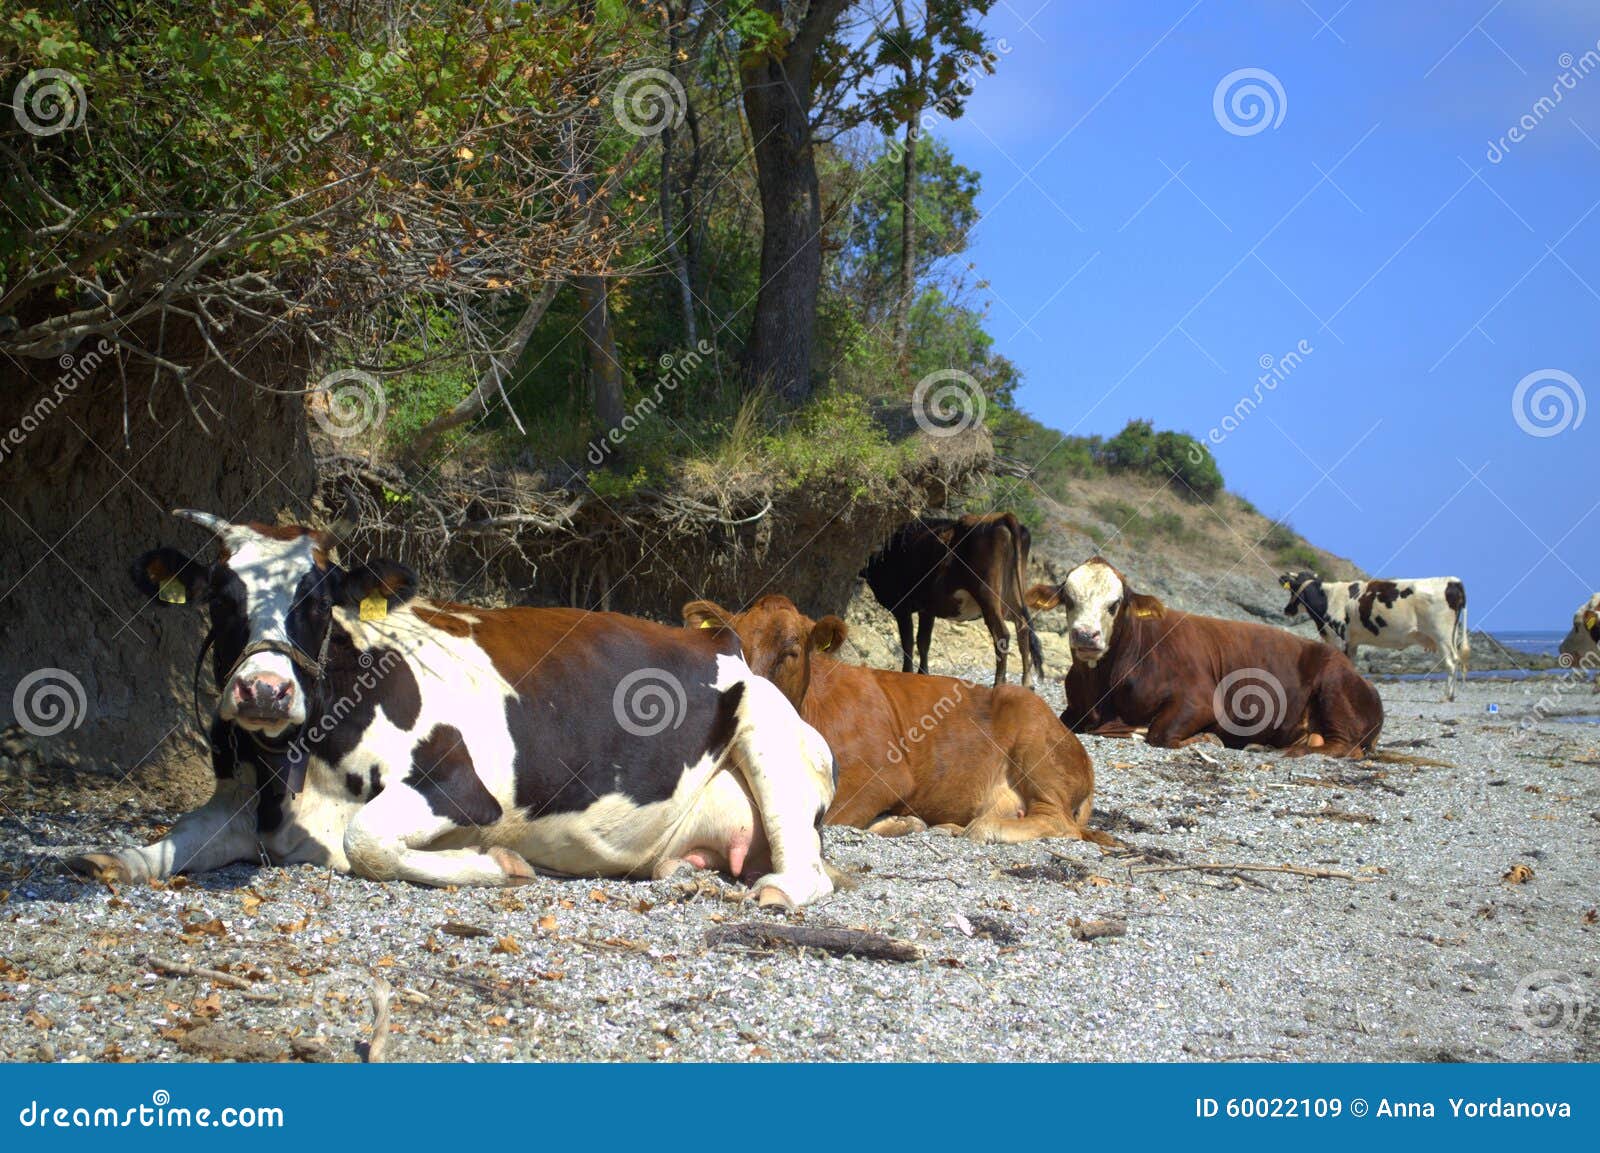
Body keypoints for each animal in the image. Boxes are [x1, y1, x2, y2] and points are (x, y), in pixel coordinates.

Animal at [68, 511, 838, 908]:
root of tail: (718, 640)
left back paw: (777, 890)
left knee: (810, 873)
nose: (263, 689)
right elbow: (171, 841)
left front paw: (496, 864)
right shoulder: (236, 801)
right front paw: (111, 859)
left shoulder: (465, 788)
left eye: (315, 600)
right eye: (221, 599)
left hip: (769, 738)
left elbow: (367, 842)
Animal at [678, 594, 1113, 844]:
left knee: (1058, 821)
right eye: (734, 644)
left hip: (1033, 734)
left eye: (792, 650)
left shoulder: (883, 774)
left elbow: (831, 816)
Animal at [864, 518, 1036, 687]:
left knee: (1002, 634)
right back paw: (1027, 684)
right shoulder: (927, 610)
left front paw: (907, 673)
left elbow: (908, 642)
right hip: (1012, 596)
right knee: (1022, 628)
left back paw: (999, 684)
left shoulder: (902, 607)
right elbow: (923, 641)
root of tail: (1002, 519)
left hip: (988, 596)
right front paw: (923, 674)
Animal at [1030, 556, 1382, 754]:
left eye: (1115, 604)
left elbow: (1159, 733)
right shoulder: (1075, 709)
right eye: (1068, 599)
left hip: (1334, 685)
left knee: (1345, 747)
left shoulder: (1200, 699)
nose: (1085, 634)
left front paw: (1206, 739)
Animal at [1280, 569, 1465, 697]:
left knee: (1451, 662)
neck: (1327, 599)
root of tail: (1453, 581)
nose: (1287, 609)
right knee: (1457, 660)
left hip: (1442, 635)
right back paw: (1453, 694)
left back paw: (1447, 696)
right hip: (1452, 635)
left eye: (1293, 587)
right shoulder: (1352, 643)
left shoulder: (1339, 639)